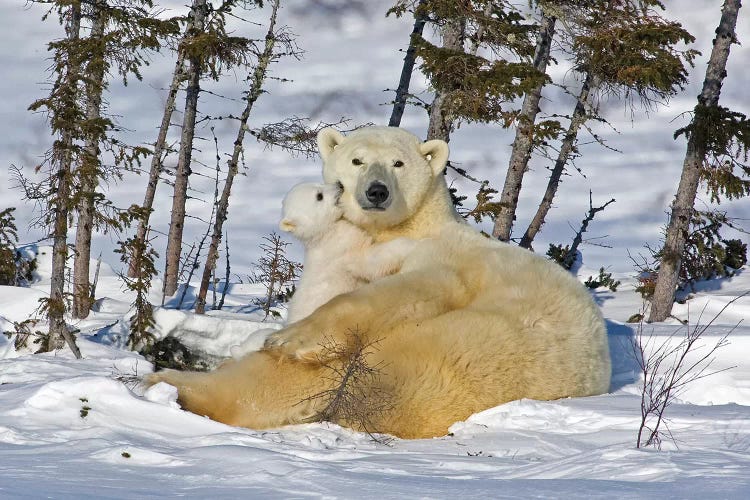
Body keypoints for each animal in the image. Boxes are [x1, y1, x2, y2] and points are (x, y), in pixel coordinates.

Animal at [147, 127, 612, 440]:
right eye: (356, 160)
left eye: (398, 164)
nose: (375, 191)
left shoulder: (447, 259)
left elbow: (402, 289)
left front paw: (289, 338)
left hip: (450, 349)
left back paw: (169, 383)